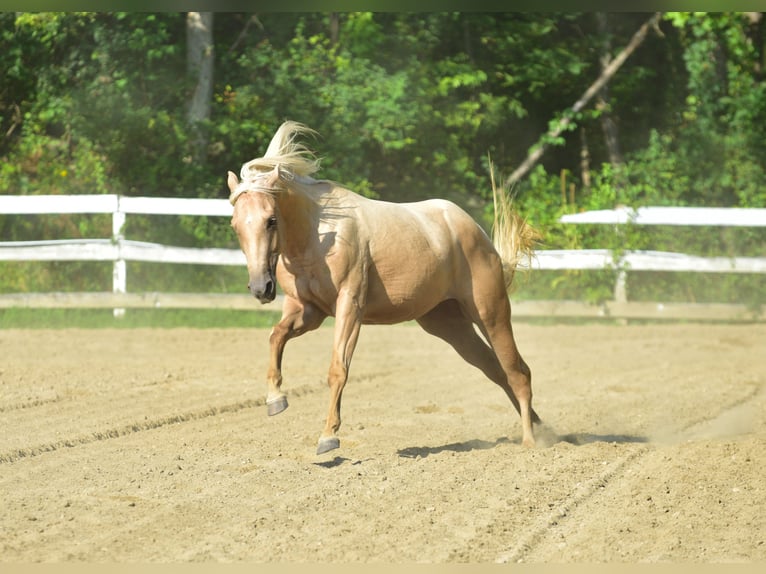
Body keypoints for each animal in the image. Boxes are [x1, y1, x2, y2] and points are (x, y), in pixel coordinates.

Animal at [228, 121, 542, 455]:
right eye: (235, 225)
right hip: (450, 325)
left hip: (490, 313)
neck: (319, 234)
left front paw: (328, 437)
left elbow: (338, 369)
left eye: (271, 220)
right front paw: (275, 399)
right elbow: (276, 337)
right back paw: (539, 425)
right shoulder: (309, 310)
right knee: (496, 370)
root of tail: (477, 232)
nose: (261, 287)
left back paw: (531, 440)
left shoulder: (349, 305)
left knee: (517, 371)